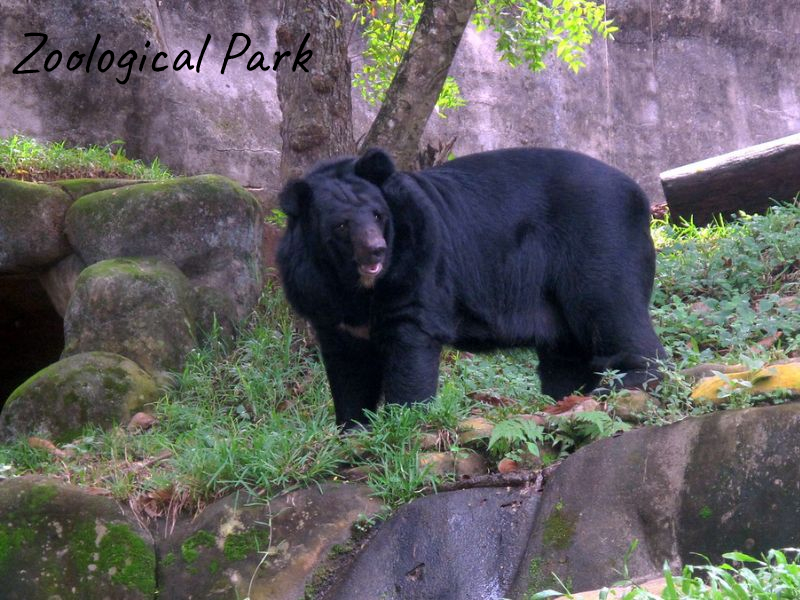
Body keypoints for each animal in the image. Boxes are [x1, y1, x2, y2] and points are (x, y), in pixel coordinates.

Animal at [278, 146, 664, 426]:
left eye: (377, 214)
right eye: (342, 225)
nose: (376, 250)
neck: (354, 285)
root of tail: (639, 194)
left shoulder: (415, 262)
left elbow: (410, 341)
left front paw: (405, 419)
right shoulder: (320, 299)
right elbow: (348, 367)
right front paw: (353, 428)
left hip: (599, 238)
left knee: (610, 306)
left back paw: (631, 379)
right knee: (566, 356)